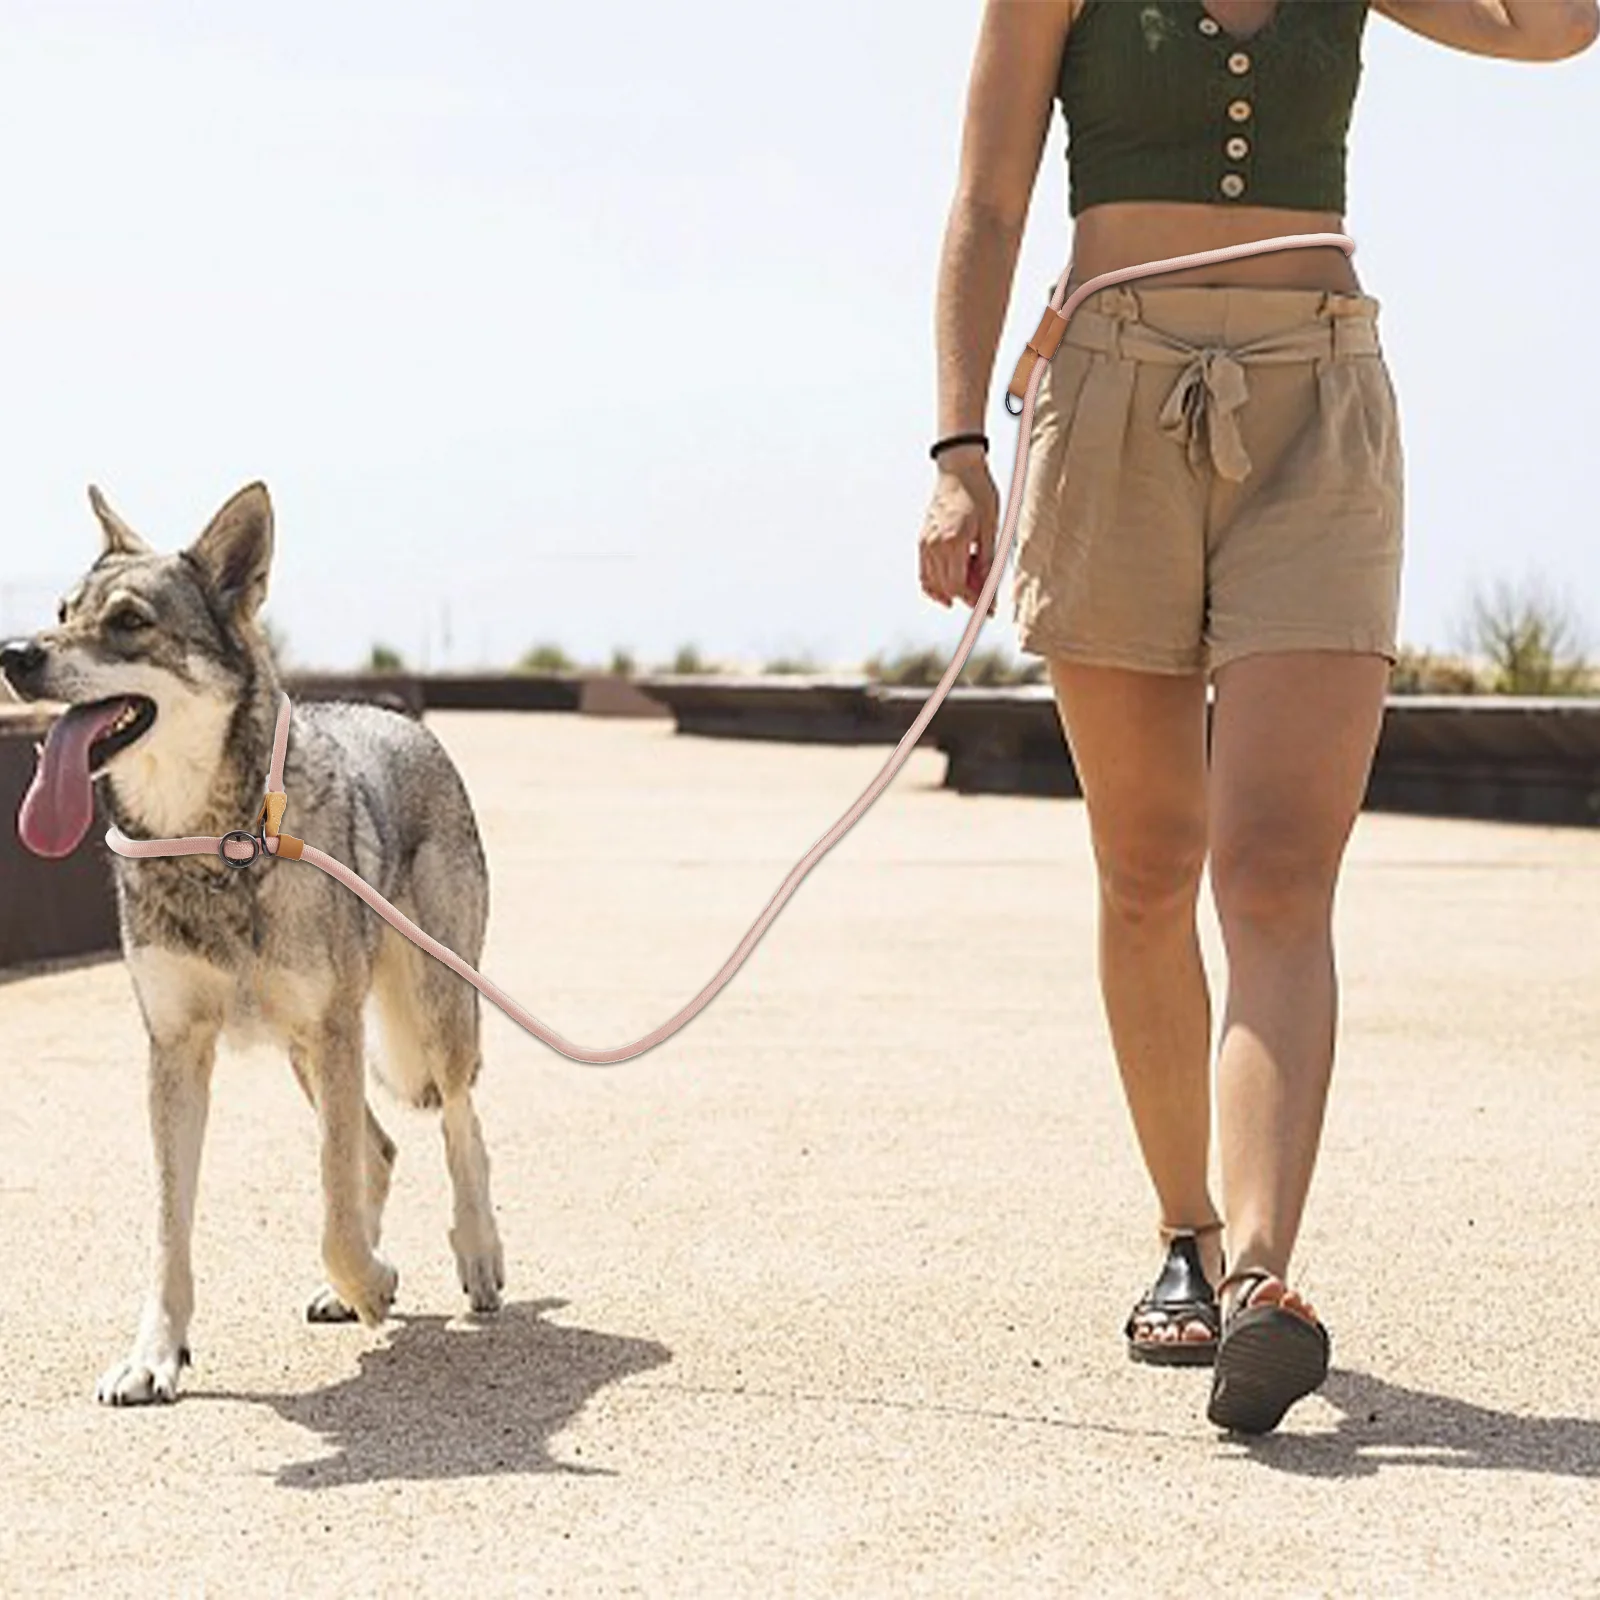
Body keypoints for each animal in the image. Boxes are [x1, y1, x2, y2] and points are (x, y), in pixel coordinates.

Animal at [0, 480, 502, 1408]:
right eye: (60, 613)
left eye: (129, 621)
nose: (12, 653)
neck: (214, 843)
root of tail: (402, 719)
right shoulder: (175, 1050)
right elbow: (172, 1231)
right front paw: (155, 1357)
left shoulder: (333, 1032)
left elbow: (335, 1213)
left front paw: (373, 1283)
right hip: (312, 1056)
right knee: (379, 1148)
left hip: (426, 1015)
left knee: (458, 1123)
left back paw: (478, 1256)